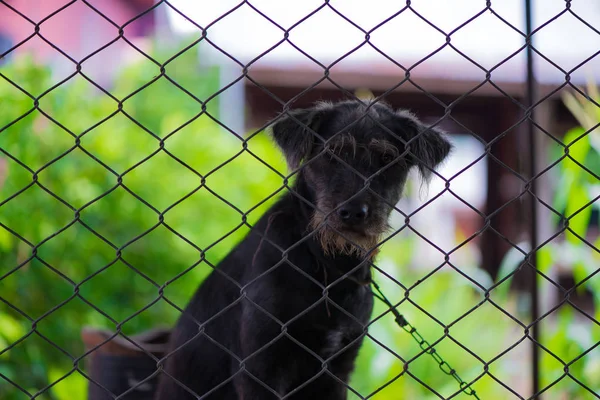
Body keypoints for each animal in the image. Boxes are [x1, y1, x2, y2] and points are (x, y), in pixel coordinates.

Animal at [155, 100, 450, 400]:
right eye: (331, 154)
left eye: (387, 159)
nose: (353, 213)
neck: (328, 266)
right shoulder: (260, 368)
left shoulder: (337, 370)